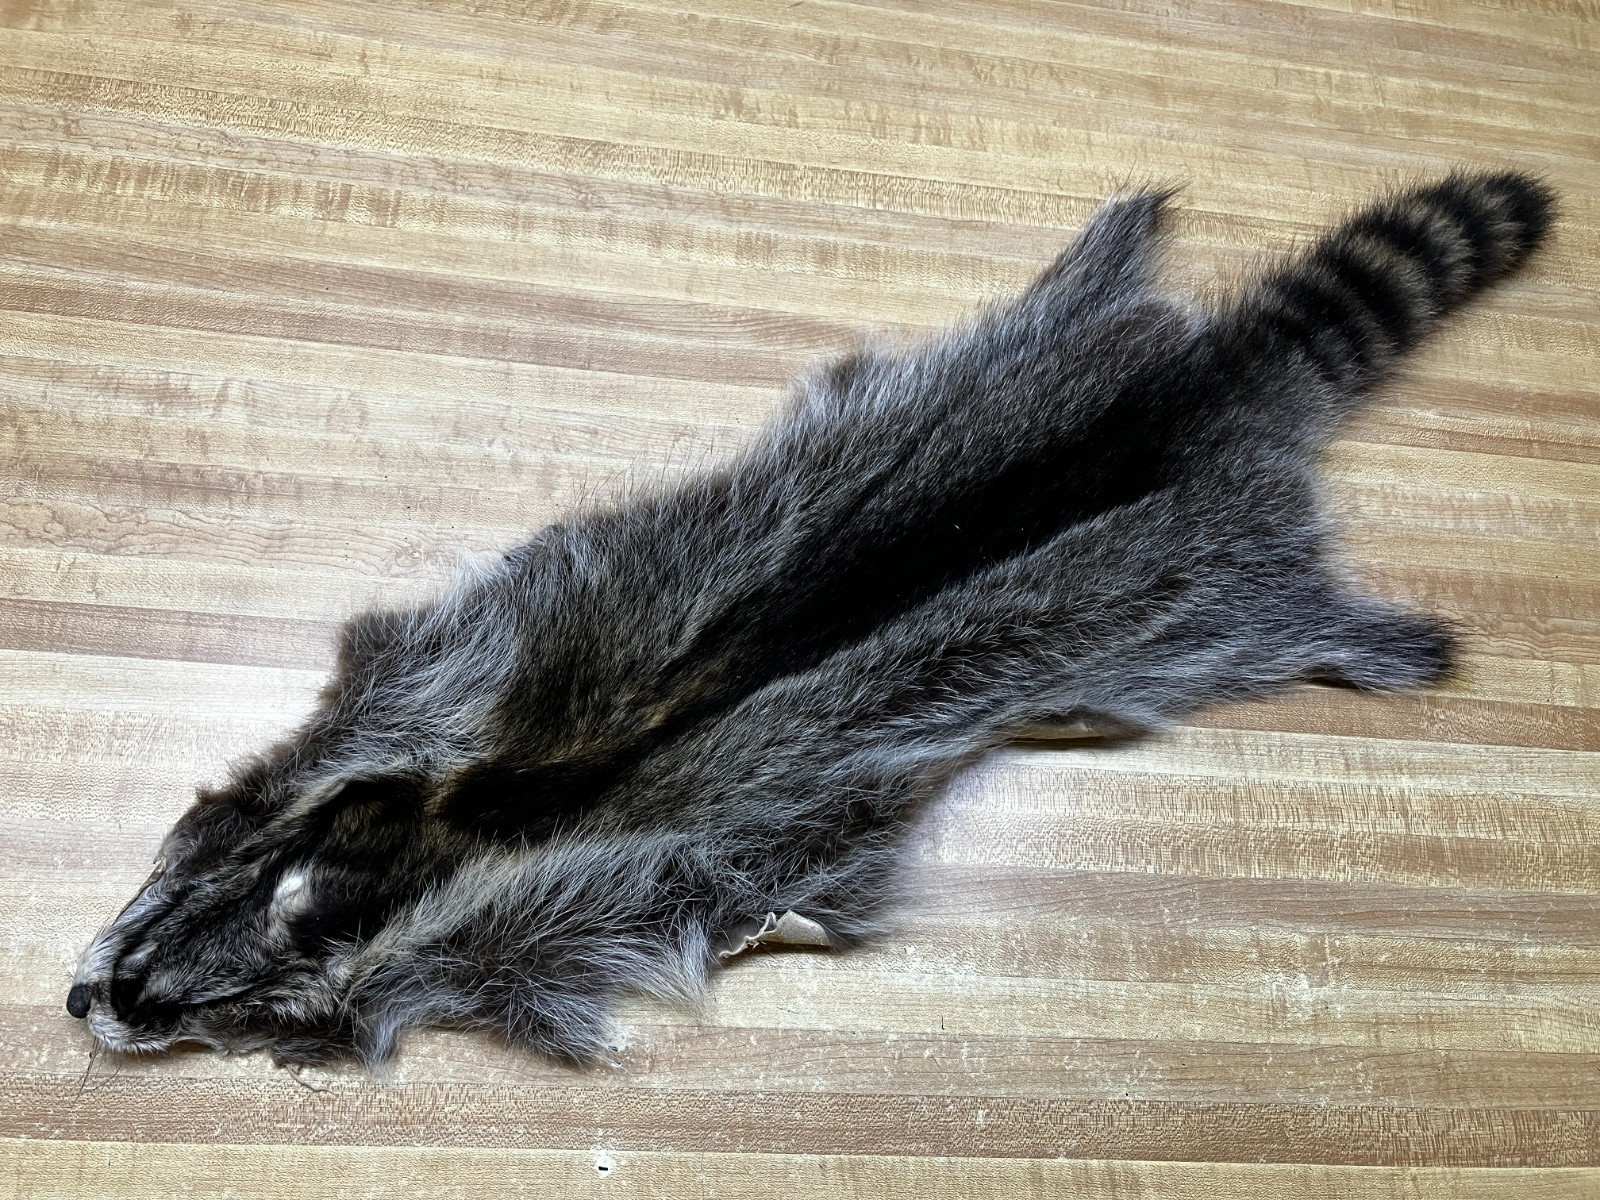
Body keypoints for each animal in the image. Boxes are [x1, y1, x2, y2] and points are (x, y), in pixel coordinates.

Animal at [67, 170, 1554, 1066]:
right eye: (152, 916)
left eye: (184, 999)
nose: (82, 1001)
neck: (407, 851)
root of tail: (1210, 391)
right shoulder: (433, 683)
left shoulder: (543, 913)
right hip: (1017, 361)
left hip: (1223, 599)